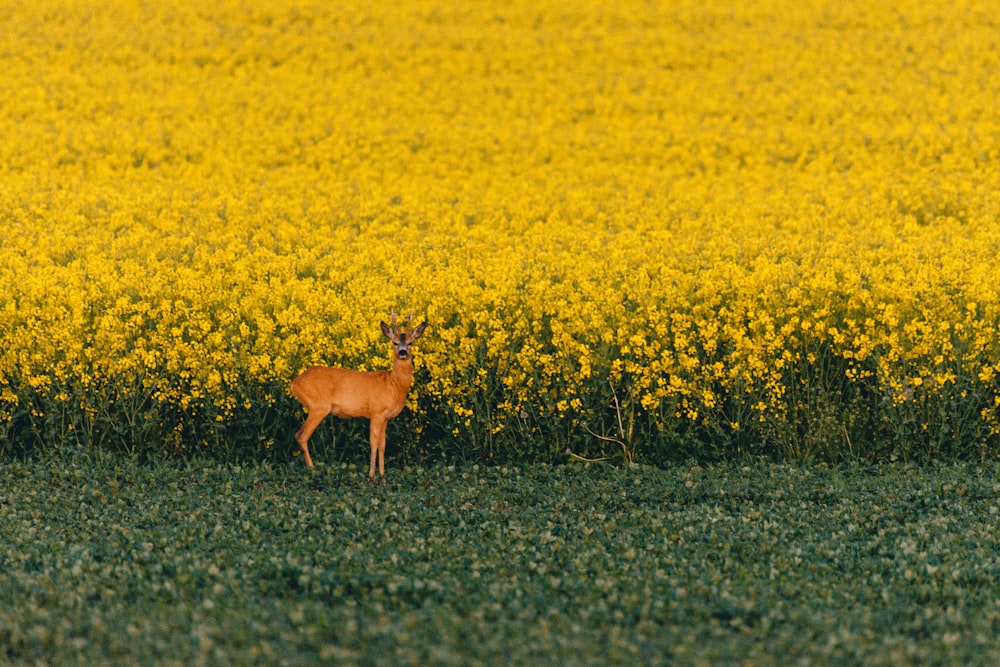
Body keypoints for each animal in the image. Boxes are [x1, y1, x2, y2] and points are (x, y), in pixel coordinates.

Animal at [292, 310, 428, 482]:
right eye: (394, 342)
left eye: (410, 342)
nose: (402, 352)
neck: (394, 385)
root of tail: (294, 383)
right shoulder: (376, 412)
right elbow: (373, 442)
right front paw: (371, 475)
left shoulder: (385, 417)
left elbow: (383, 444)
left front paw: (382, 474)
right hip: (318, 406)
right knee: (301, 435)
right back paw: (312, 469)